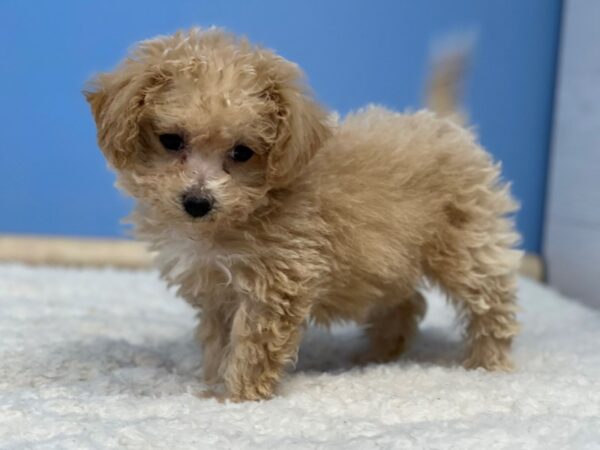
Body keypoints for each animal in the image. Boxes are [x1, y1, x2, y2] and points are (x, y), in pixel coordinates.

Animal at [84, 28, 520, 400]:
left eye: (242, 152)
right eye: (171, 141)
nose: (197, 202)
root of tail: (445, 126)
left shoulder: (276, 283)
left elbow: (252, 346)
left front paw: (237, 396)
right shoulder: (216, 290)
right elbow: (218, 341)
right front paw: (212, 384)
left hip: (465, 243)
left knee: (490, 299)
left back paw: (489, 363)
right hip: (391, 258)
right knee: (405, 302)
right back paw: (377, 357)